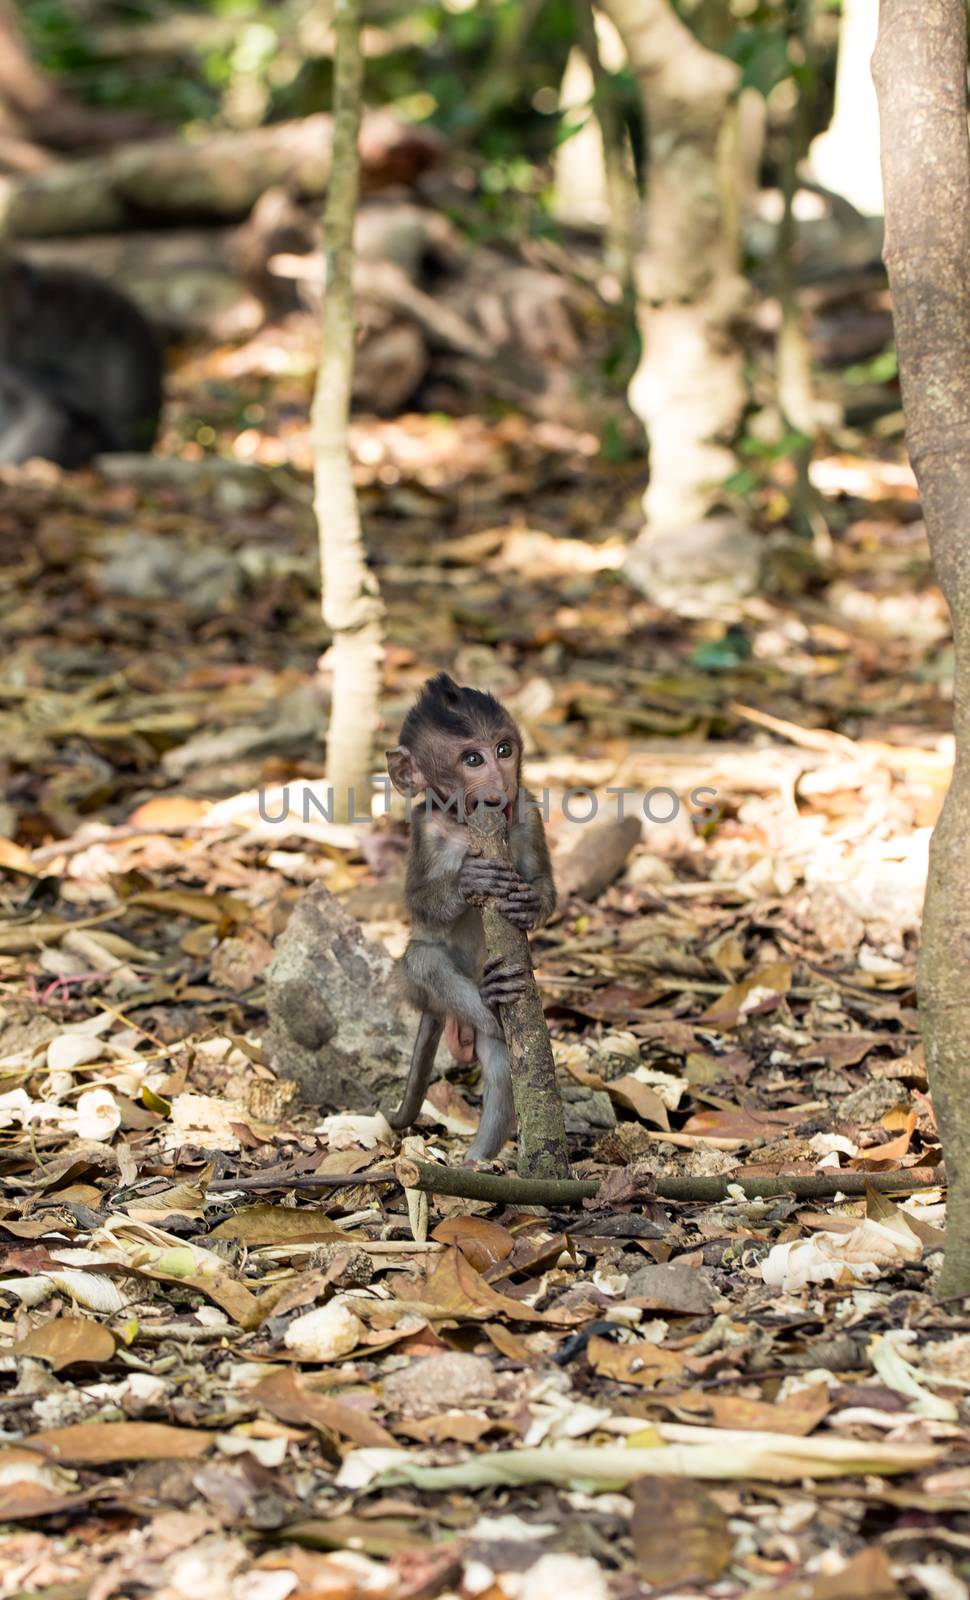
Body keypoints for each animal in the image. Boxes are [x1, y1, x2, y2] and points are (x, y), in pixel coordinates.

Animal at [385, 675, 560, 1164]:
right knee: (424, 961)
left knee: (501, 1065)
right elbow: (418, 902)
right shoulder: (422, 827)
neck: (464, 825)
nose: (499, 781)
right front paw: (469, 878)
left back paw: (478, 1159)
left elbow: (543, 880)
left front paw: (529, 903)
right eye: (472, 759)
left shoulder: (527, 808)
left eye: (504, 750)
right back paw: (486, 994)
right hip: (421, 993)